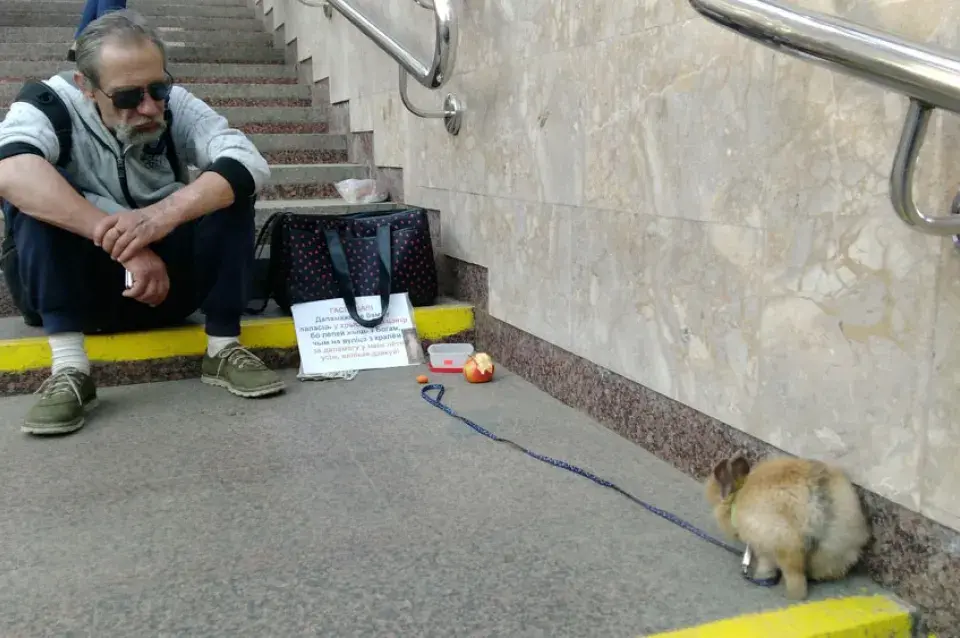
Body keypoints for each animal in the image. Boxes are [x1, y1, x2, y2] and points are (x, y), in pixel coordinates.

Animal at [700, 456, 872, 600]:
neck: (738, 496)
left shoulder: (761, 543)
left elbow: (765, 562)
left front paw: (761, 574)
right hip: (839, 543)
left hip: (786, 544)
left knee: (796, 578)